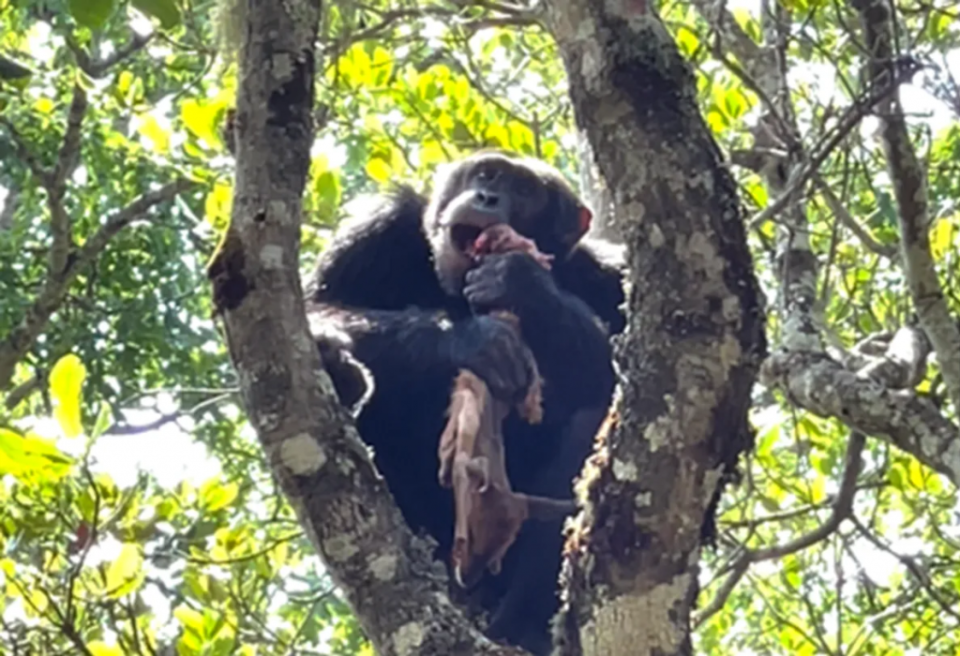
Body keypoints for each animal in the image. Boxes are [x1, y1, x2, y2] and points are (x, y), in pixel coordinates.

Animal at [304, 151, 628, 652]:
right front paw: (472, 340)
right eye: (487, 174)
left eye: (525, 191)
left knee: (591, 424)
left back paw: (519, 624)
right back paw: (341, 373)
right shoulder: (374, 228)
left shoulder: (611, 275)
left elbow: (626, 374)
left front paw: (522, 283)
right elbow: (315, 307)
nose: (488, 196)